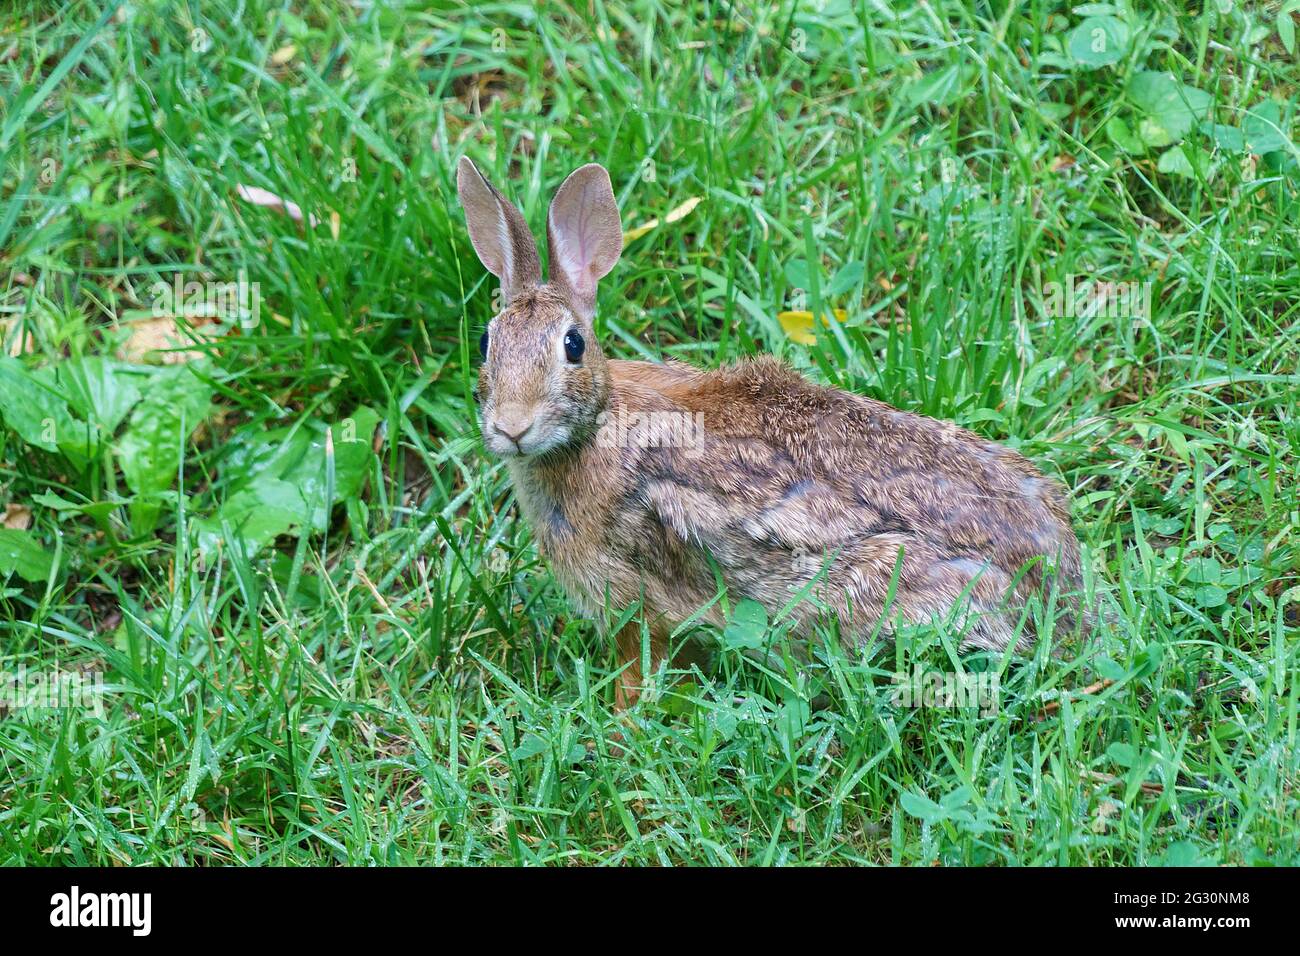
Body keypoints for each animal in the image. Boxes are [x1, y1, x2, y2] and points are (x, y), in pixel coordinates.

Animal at [457, 157, 1087, 710]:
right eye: (487, 343)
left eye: (573, 345)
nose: (513, 427)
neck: (597, 422)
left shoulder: (635, 599)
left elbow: (640, 668)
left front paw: (619, 722)